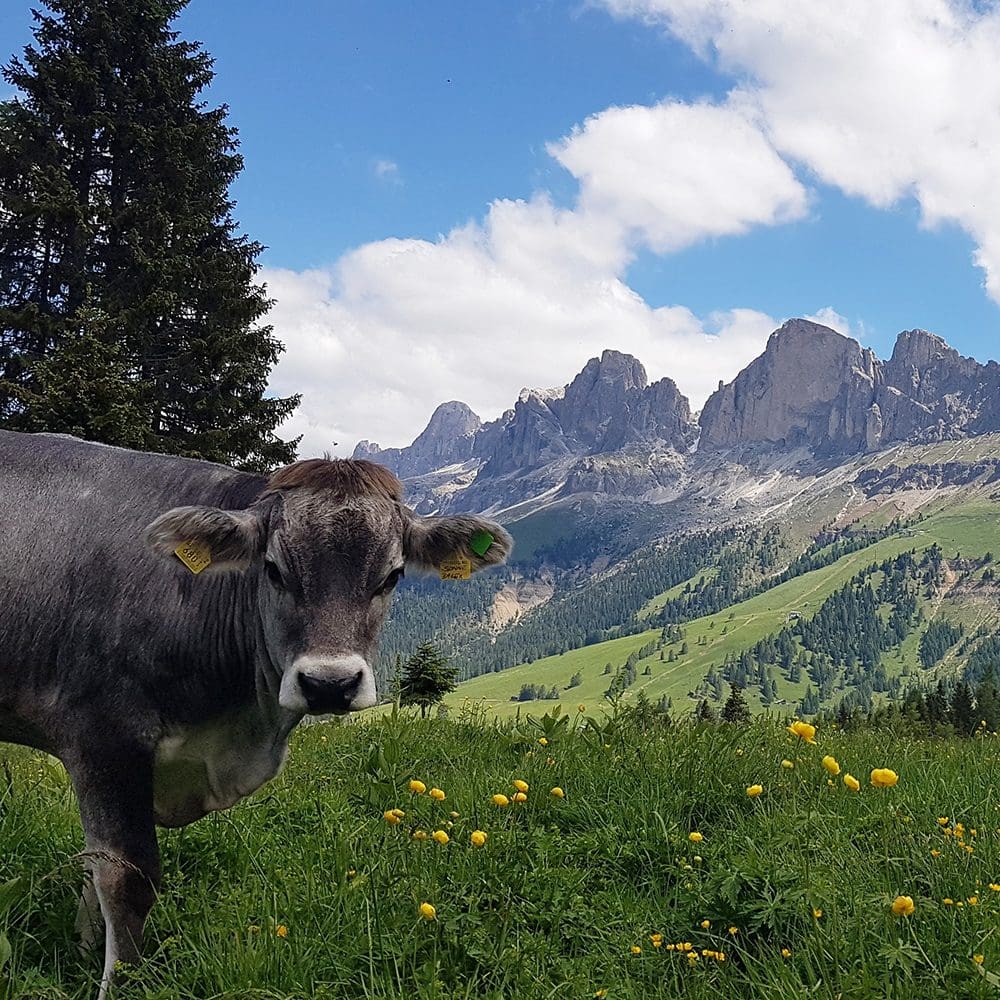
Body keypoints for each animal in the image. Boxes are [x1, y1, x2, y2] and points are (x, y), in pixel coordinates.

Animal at [0, 428, 512, 992]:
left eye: (392, 576)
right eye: (274, 570)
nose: (329, 684)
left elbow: (95, 865)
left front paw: (87, 949)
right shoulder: (103, 734)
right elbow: (124, 875)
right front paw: (119, 983)